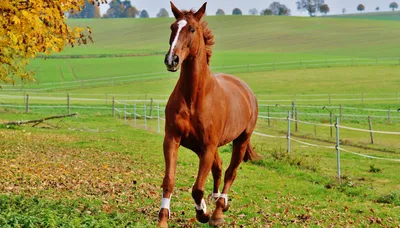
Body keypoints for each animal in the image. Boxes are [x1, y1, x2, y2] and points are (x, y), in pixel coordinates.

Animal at [158, 1, 258, 226]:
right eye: (172, 27)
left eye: (192, 29)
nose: (171, 60)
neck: (194, 98)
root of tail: (247, 91)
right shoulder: (173, 140)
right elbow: (169, 181)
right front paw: (163, 220)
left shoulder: (207, 147)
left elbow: (197, 188)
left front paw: (203, 213)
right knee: (219, 168)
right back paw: (216, 200)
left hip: (240, 141)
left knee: (230, 172)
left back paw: (219, 210)